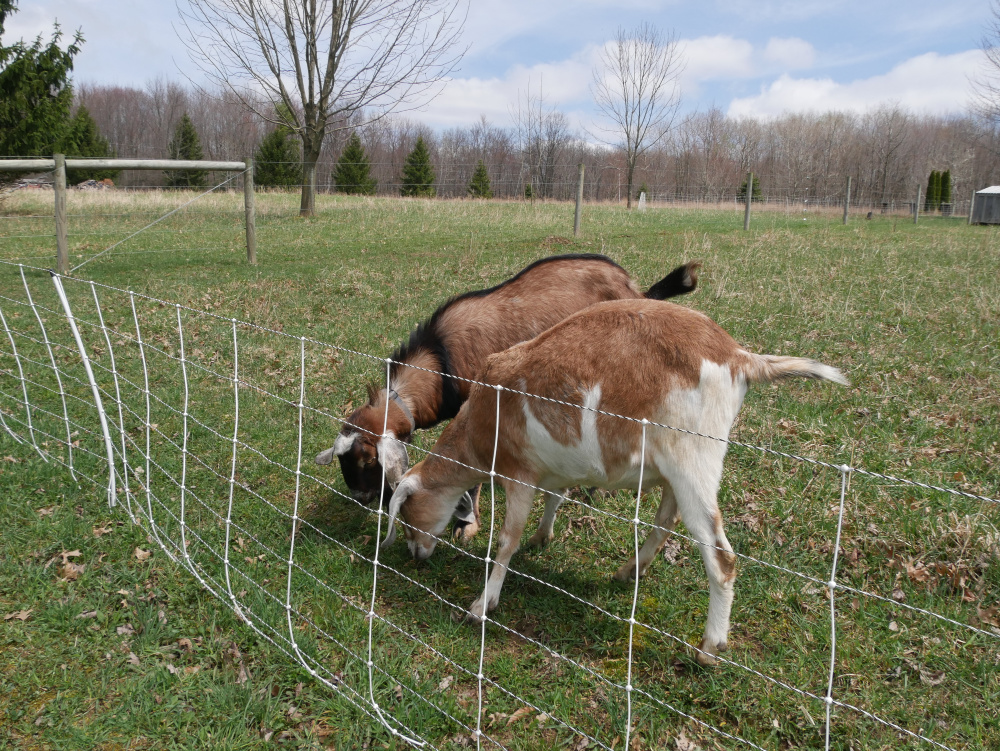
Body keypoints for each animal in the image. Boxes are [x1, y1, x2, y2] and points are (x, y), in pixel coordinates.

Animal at [316, 256, 700, 536]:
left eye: (368, 460)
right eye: (342, 459)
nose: (360, 497)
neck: (440, 360)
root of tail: (631, 286)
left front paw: (468, 523)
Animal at [378, 298, 848, 664]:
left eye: (406, 512)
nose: (416, 553)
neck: (483, 418)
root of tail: (737, 356)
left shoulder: (518, 473)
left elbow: (507, 539)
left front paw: (481, 605)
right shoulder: (554, 468)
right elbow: (556, 498)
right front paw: (543, 538)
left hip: (694, 458)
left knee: (721, 558)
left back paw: (709, 647)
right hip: (676, 468)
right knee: (665, 520)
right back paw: (629, 572)